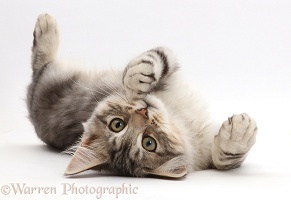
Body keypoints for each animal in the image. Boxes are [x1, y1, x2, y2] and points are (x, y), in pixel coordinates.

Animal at [26, 14, 258, 178]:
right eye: (149, 143)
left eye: (116, 124)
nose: (144, 112)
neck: (178, 117)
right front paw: (240, 132)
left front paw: (135, 78)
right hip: (52, 74)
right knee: (41, 62)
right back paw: (46, 25)